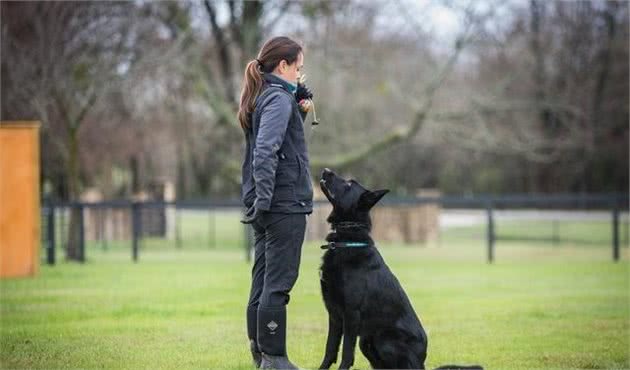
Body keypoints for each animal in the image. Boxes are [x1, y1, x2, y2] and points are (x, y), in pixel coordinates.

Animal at [318, 168, 486, 370]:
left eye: (349, 184)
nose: (326, 170)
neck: (348, 239)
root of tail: (422, 364)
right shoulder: (334, 316)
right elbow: (329, 350)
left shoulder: (351, 314)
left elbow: (346, 354)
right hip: (366, 341)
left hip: (384, 338)